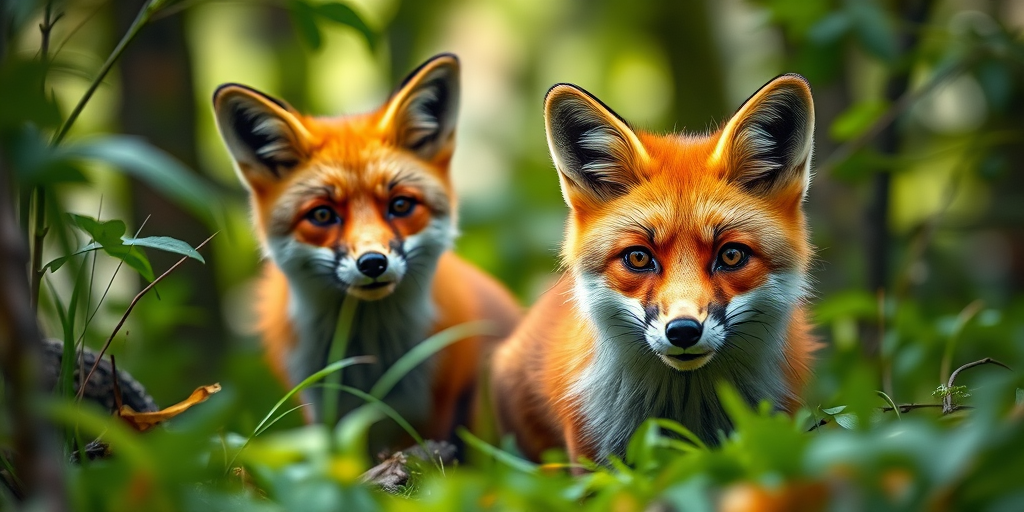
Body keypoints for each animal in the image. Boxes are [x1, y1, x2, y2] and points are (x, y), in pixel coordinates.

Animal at [212, 54, 520, 446]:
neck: (370, 360)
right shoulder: (324, 413)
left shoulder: (431, 413)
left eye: (400, 205)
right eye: (323, 214)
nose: (373, 263)